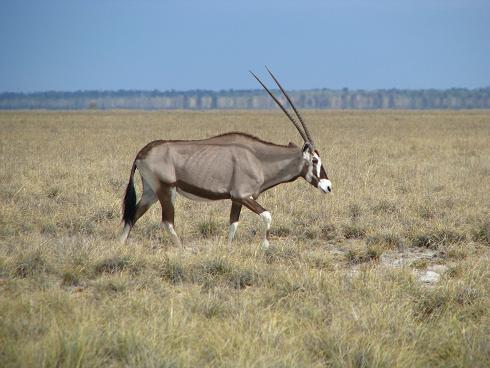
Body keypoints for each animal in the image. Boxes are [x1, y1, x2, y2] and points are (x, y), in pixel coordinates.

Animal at [120, 68, 332, 249]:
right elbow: (267, 215)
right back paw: (181, 251)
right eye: (314, 160)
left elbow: (233, 224)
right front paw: (265, 246)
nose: (328, 186)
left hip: (151, 192)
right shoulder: (242, 195)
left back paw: (119, 247)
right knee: (167, 222)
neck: (258, 159)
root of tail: (142, 152)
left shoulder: (236, 199)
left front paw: (229, 249)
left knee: (132, 216)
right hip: (166, 190)